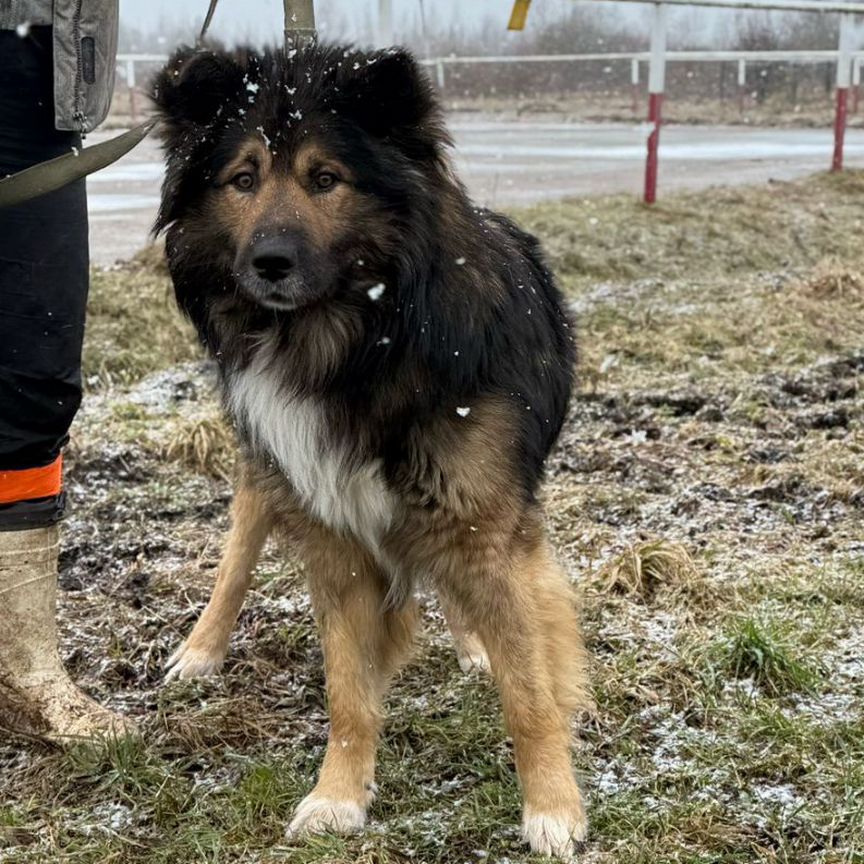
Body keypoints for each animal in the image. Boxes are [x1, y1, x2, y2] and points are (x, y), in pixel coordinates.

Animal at [152, 45, 592, 856]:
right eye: (243, 179)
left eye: (326, 178)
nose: (268, 262)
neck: (355, 345)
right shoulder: (335, 535)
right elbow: (348, 694)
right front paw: (337, 798)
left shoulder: (486, 527)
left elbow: (529, 690)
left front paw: (552, 808)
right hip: (269, 471)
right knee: (238, 553)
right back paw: (201, 650)